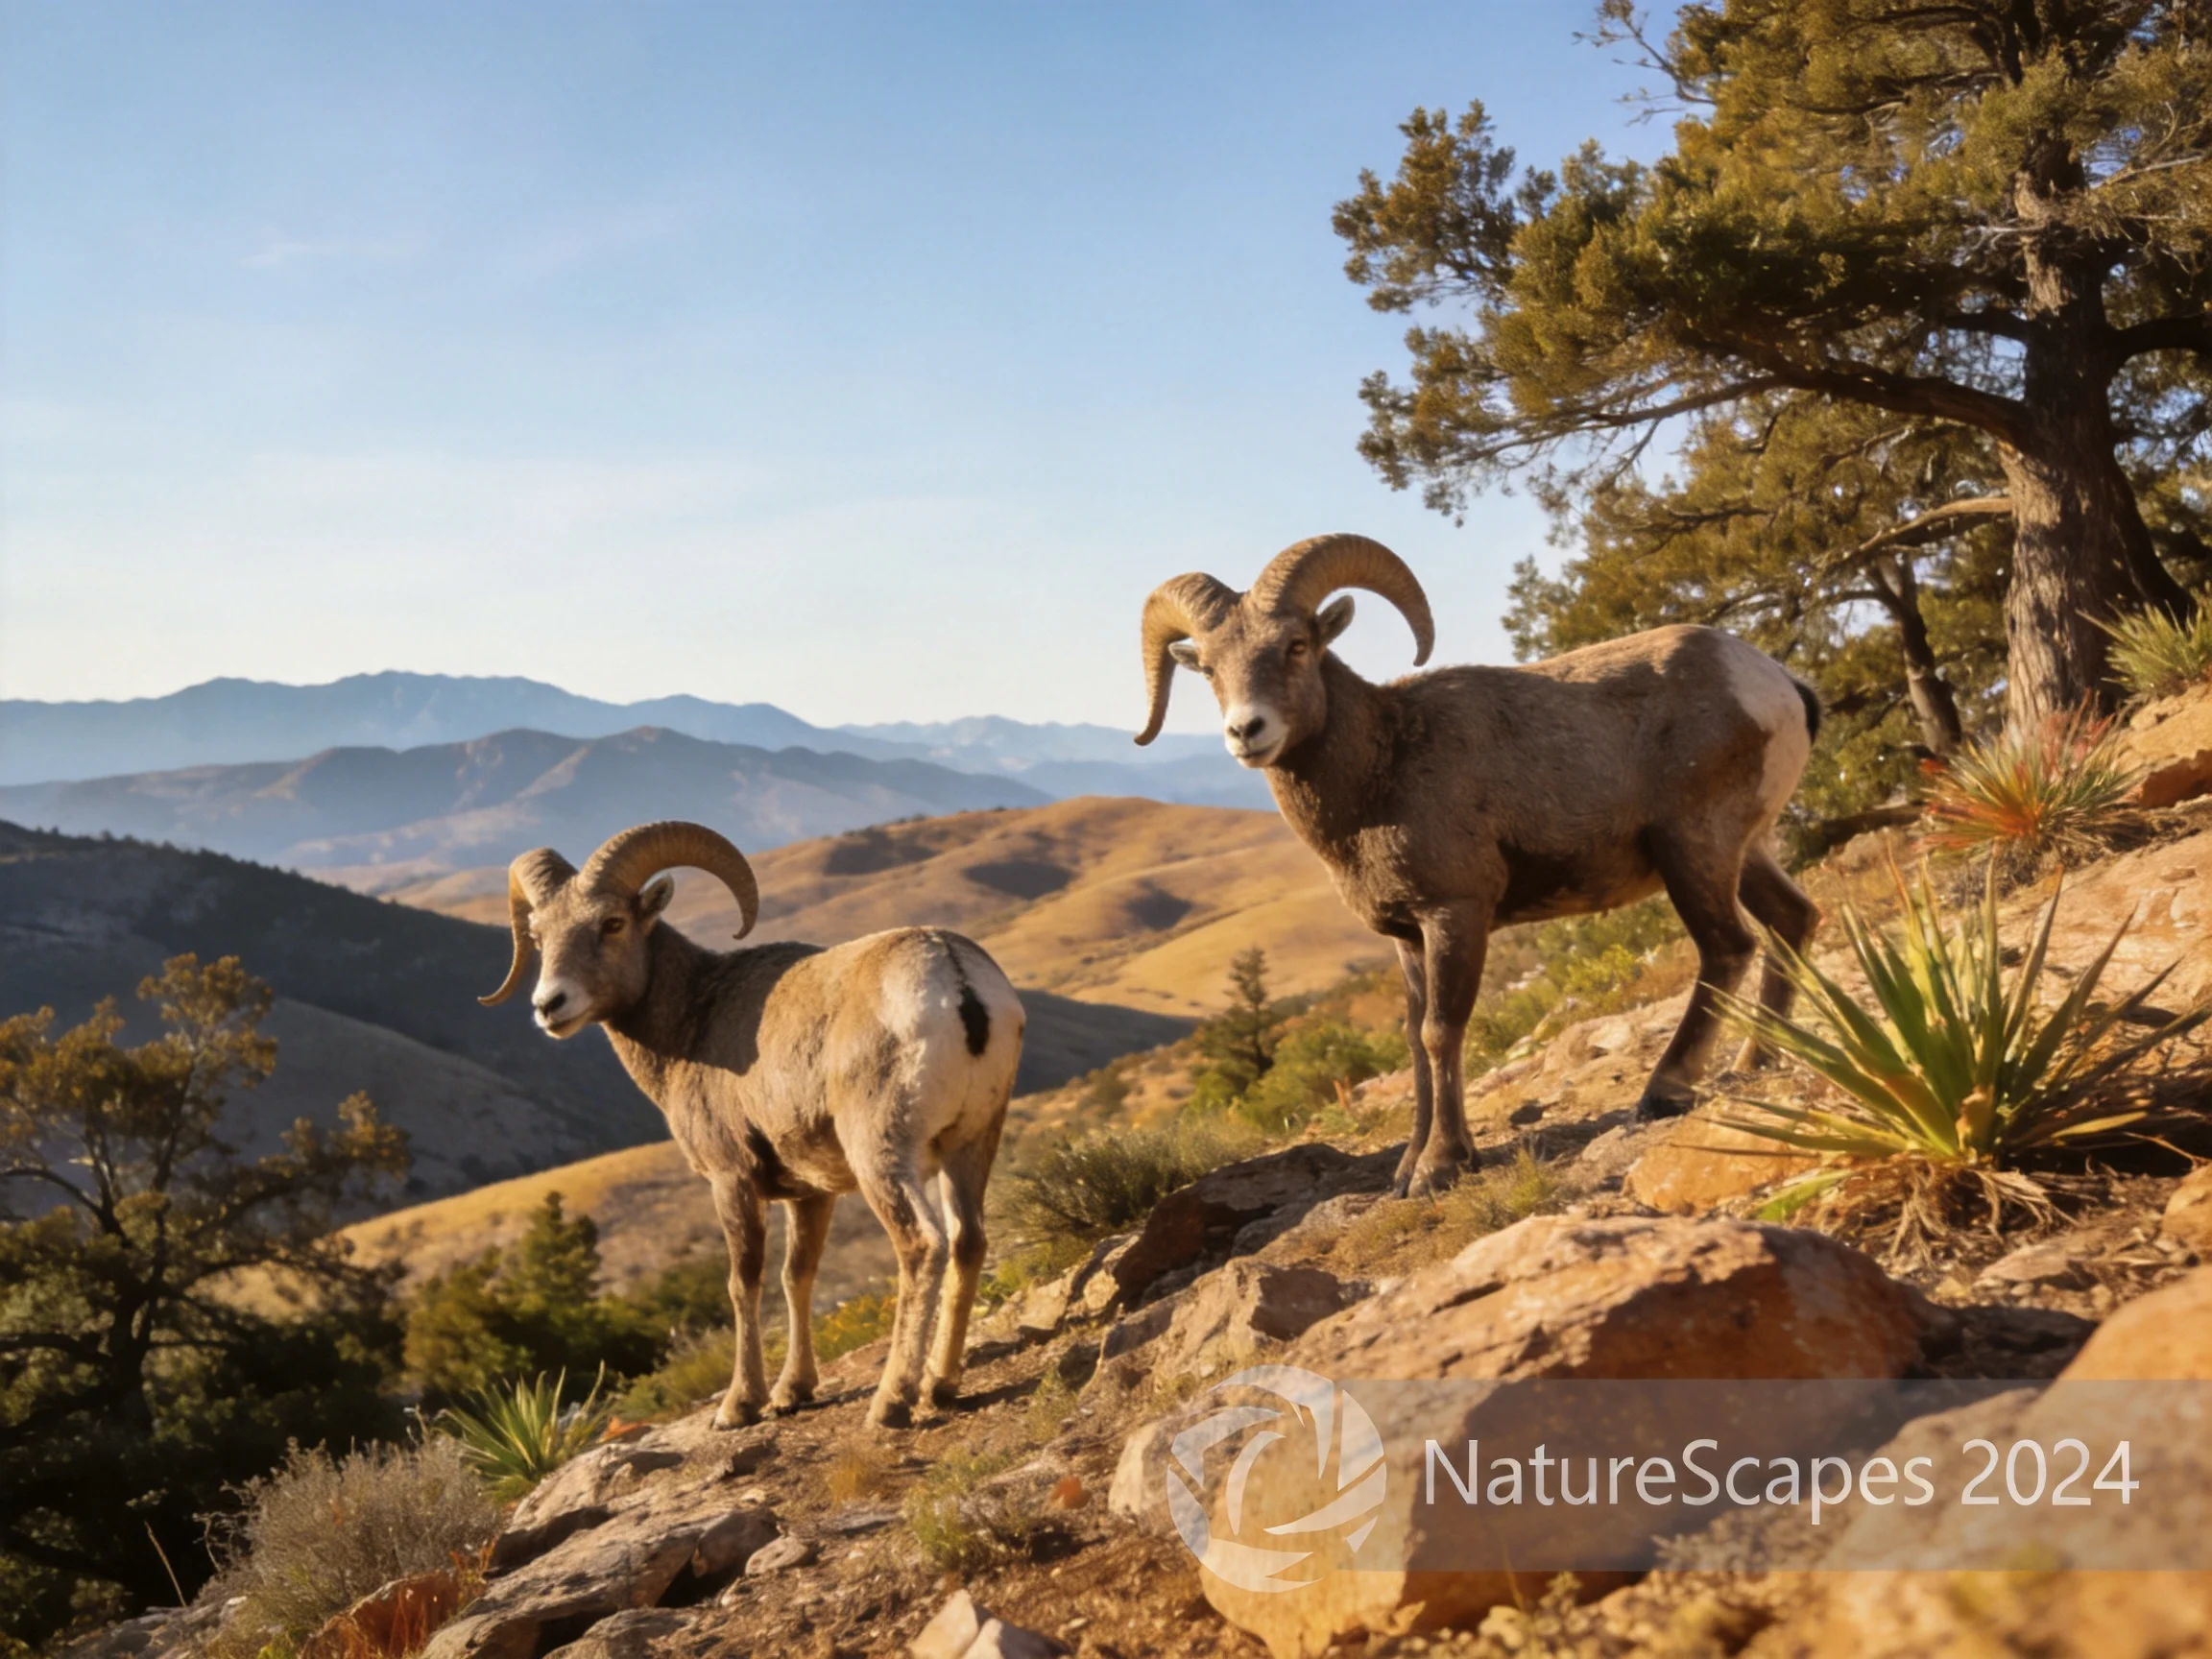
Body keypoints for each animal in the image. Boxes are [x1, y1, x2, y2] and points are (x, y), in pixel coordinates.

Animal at [478, 819, 1024, 1430]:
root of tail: (957, 981)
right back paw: (941, 1386)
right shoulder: (810, 1193)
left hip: (884, 1158)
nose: (550, 1006)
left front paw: (740, 1405)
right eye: (540, 936)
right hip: (972, 1146)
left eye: (612, 923)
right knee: (968, 1242)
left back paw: (890, 1403)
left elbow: (744, 1284)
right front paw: (792, 1391)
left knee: (922, 1245)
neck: (692, 1021)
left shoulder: (731, 1179)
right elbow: (797, 1275)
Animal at [1137, 533, 1819, 1197]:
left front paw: (1440, 1168)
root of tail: (1776, 682)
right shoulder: (1408, 938)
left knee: (1728, 947)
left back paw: (1663, 1092)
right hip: (1745, 852)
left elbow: (1442, 1032)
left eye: (1296, 645)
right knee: (1794, 920)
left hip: (1693, 849)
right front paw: (1410, 1168)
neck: (1382, 769)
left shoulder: (1454, 915)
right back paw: (1755, 1062)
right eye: (1209, 669)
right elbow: (1414, 1043)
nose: (1246, 731)